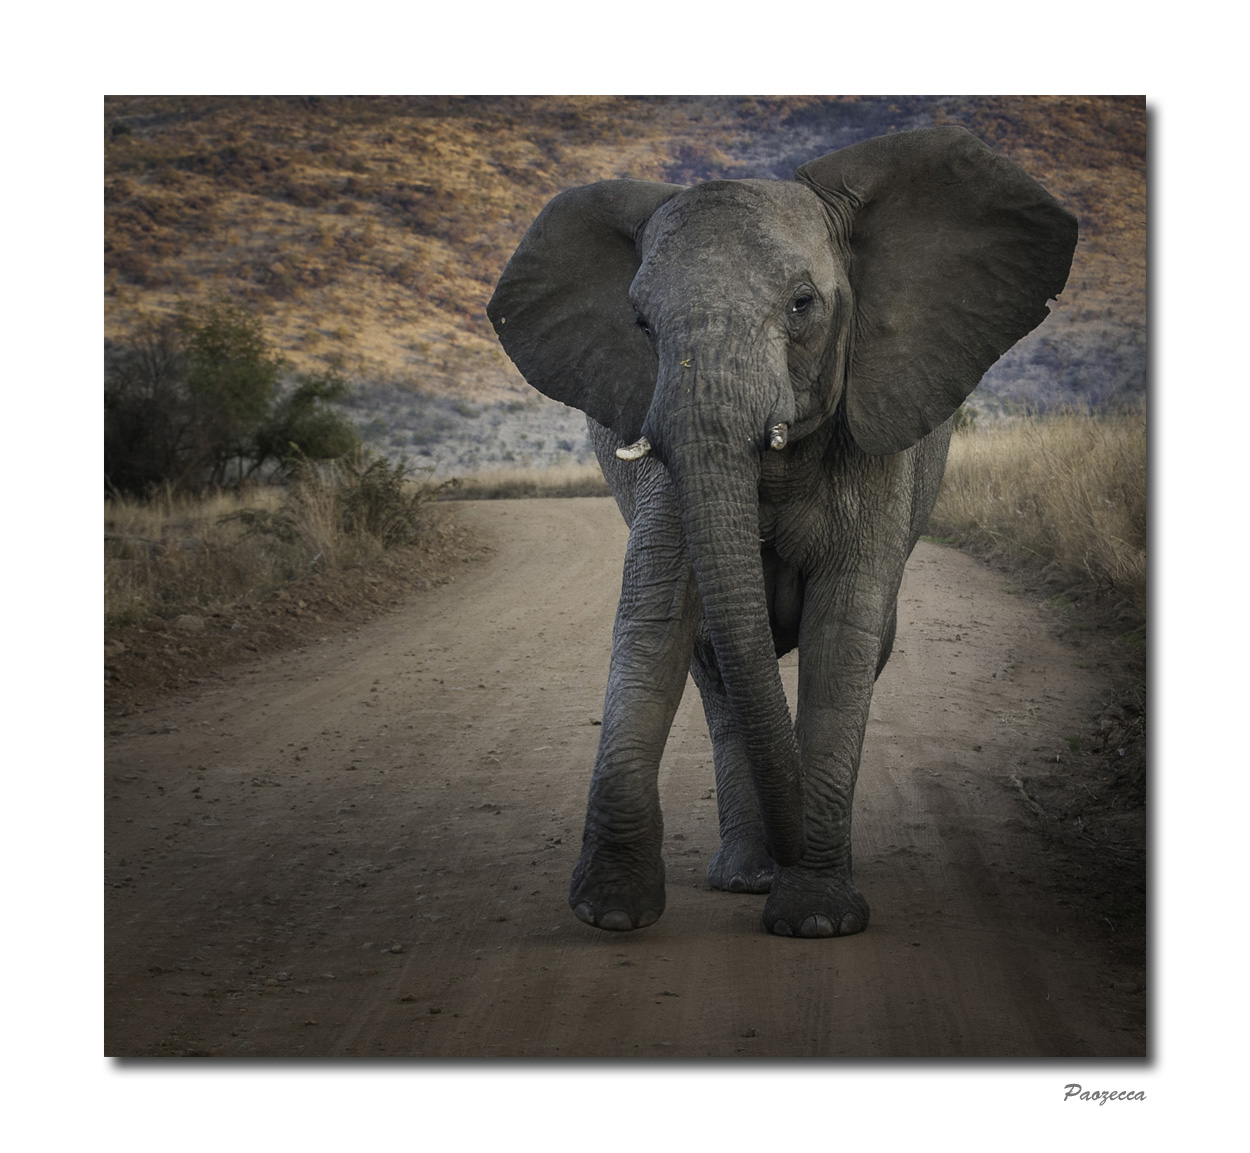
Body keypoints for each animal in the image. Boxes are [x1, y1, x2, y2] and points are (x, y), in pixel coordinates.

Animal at [487, 127, 1077, 938]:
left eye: (803, 304)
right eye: (640, 324)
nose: (795, 848)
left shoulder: (872, 436)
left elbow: (844, 628)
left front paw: (818, 917)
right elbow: (654, 616)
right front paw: (610, 910)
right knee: (717, 665)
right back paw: (748, 874)